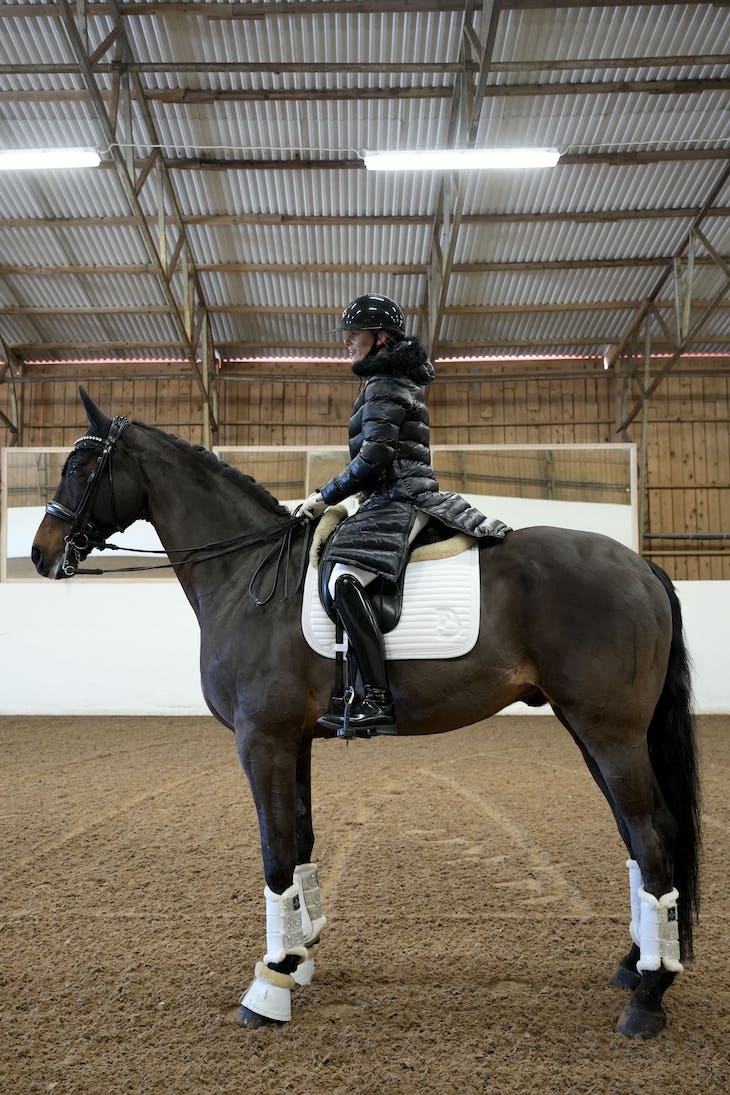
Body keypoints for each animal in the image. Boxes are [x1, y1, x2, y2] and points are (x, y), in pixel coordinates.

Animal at [29, 389, 700, 1038]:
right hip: (588, 727)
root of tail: (641, 565)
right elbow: (300, 839)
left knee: (651, 834)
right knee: (639, 838)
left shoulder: (261, 739)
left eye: (79, 466)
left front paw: (269, 985)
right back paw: (634, 963)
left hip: (609, 731)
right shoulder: (292, 740)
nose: (40, 554)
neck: (246, 580)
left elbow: (275, 850)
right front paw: (297, 959)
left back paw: (648, 994)